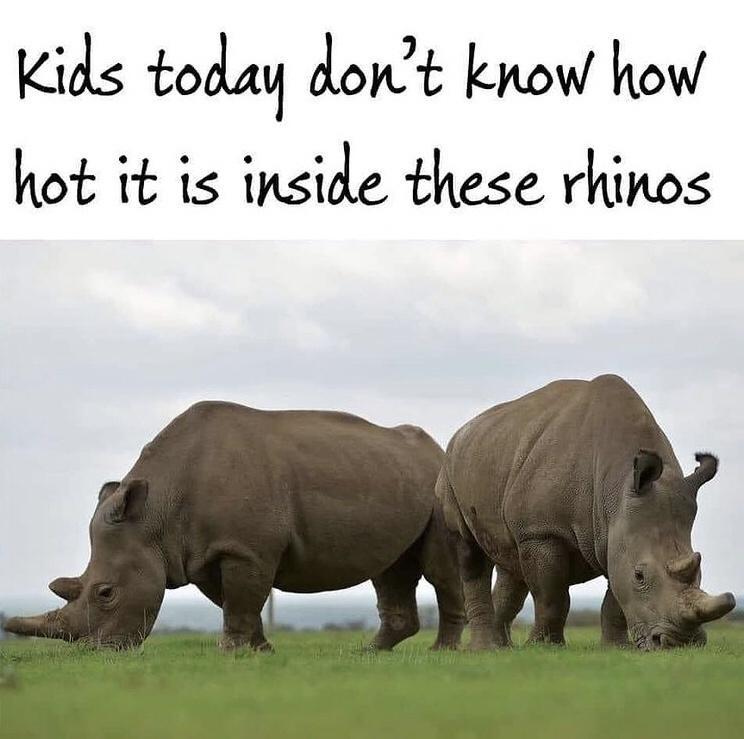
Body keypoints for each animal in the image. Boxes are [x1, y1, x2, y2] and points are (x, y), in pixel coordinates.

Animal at [5, 402, 465, 651]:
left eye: (105, 593)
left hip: (441, 486)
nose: (96, 652)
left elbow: (243, 600)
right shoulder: (204, 553)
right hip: (391, 476)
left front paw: (229, 651)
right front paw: (259, 651)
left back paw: (440, 652)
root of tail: (436, 448)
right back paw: (369, 653)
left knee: (439, 570)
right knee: (389, 569)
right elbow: (236, 602)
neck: (155, 516)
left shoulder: (245, 548)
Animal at [436, 374, 735, 650]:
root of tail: (461, 433)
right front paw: (544, 647)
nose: (681, 643)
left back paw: (502, 648)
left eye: (700, 571)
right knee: (470, 553)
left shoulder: (617, 533)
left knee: (510, 563)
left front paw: (616, 648)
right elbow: (552, 597)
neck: (616, 486)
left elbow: (614, 597)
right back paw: (484, 649)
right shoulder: (541, 532)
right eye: (640, 576)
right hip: (451, 471)